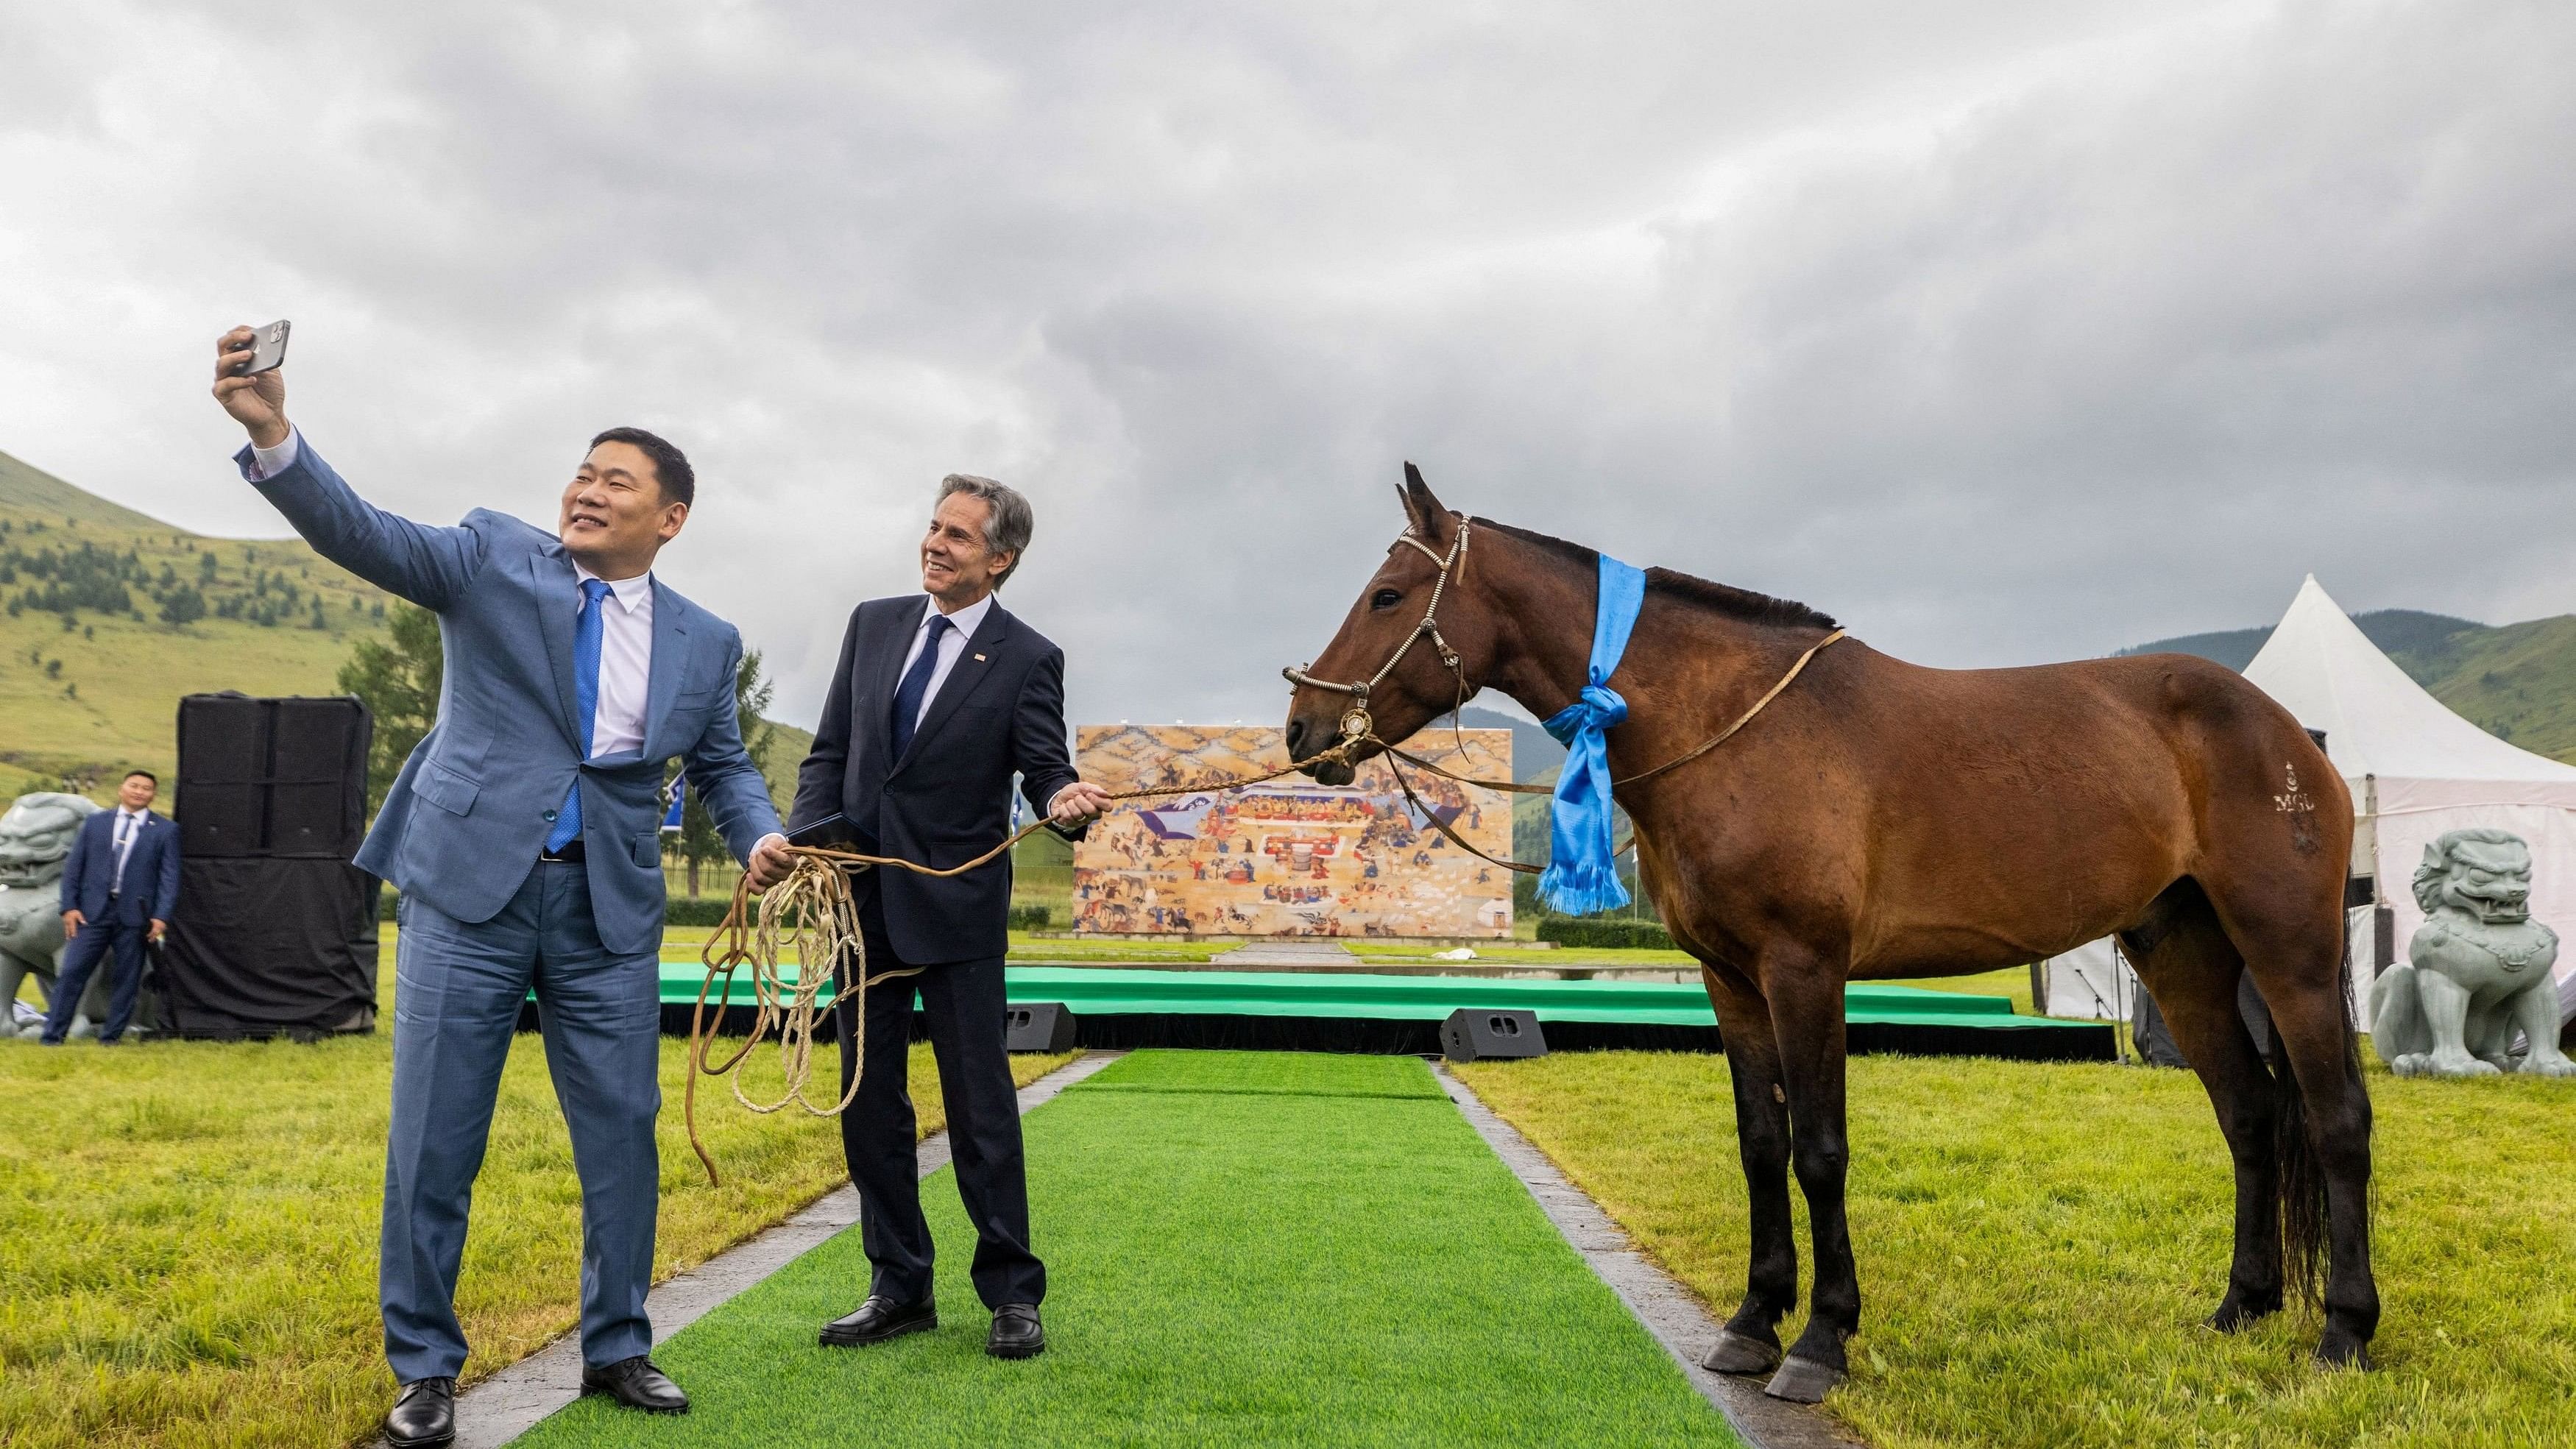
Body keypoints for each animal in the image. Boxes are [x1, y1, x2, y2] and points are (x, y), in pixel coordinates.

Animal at [1283, 471, 2370, 1400]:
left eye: (1387, 595)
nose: (1303, 728)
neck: (1731, 727)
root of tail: (2288, 732)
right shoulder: (1730, 980)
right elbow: (1762, 1143)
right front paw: (1752, 1322)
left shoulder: (1804, 970)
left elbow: (1820, 1149)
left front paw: (1819, 1340)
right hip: (2179, 954)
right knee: (2249, 1116)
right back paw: (2241, 1308)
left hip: (2290, 953)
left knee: (2336, 1119)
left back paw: (2344, 1332)